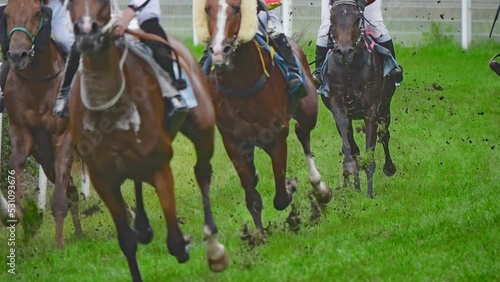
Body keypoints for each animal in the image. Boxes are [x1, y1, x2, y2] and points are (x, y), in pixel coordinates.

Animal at [0, 0, 83, 247]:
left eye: (37, 13)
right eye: (7, 14)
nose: (18, 55)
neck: (38, 83)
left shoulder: (63, 138)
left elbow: (59, 201)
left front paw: (59, 246)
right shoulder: (22, 135)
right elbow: (15, 165)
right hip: (46, 159)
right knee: (72, 191)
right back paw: (80, 234)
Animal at [66, 1, 229, 280]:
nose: (87, 34)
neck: (110, 109)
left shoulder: (159, 165)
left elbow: (175, 241)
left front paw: (187, 245)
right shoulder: (103, 178)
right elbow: (126, 241)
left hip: (203, 127)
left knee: (202, 172)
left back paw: (213, 245)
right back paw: (143, 226)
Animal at [194, 0, 332, 238]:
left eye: (237, 8)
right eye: (207, 9)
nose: (220, 51)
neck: (242, 84)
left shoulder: (277, 137)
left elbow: (281, 197)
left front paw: (291, 186)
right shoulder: (233, 143)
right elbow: (252, 196)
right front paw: (259, 235)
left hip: (308, 111)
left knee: (303, 134)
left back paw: (320, 188)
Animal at [320, 0, 398, 198]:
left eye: (357, 19)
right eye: (332, 19)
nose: (344, 52)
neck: (350, 69)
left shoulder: (372, 109)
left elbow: (370, 149)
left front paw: (370, 194)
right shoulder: (338, 107)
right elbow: (350, 147)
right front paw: (351, 178)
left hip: (385, 108)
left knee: (384, 135)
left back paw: (389, 168)